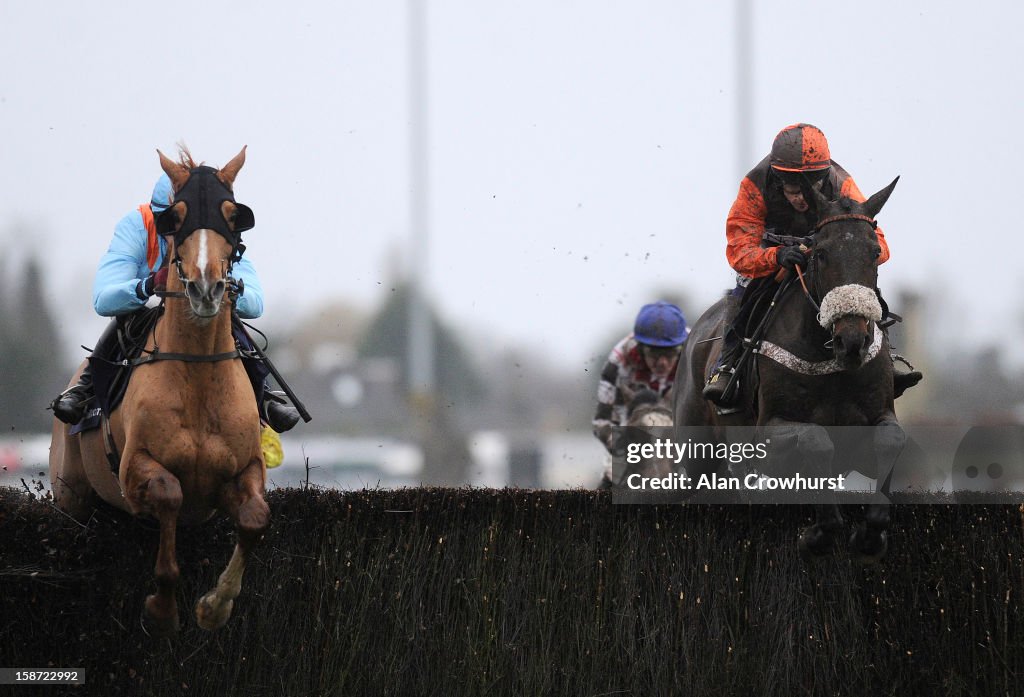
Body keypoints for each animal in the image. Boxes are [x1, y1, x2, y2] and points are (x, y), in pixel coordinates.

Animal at [50, 148, 268, 634]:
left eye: (233, 216)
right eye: (177, 217)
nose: (206, 288)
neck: (198, 377)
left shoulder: (244, 471)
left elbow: (255, 518)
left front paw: (215, 605)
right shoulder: (135, 471)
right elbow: (170, 493)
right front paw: (164, 609)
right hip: (71, 494)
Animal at [671, 177, 905, 560]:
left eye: (874, 251)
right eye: (821, 252)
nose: (852, 340)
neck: (829, 362)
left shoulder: (875, 420)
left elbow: (891, 440)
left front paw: (870, 534)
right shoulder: (767, 434)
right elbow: (816, 439)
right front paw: (819, 533)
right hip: (696, 450)